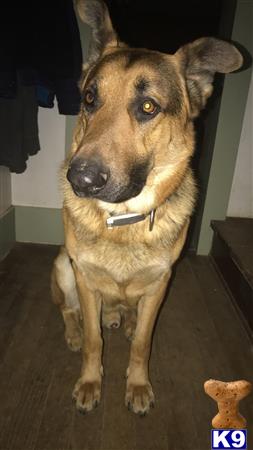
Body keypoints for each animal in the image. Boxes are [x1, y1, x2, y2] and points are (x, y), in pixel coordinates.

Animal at [51, 0, 241, 414]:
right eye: (89, 99)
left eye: (148, 106)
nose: (80, 180)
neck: (125, 220)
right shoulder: (84, 279)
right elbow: (93, 341)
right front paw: (90, 381)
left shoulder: (160, 284)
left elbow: (142, 342)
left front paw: (137, 385)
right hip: (63, 267)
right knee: (69, 311)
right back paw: (76, 332)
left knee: (128, 315)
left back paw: (122, 318)